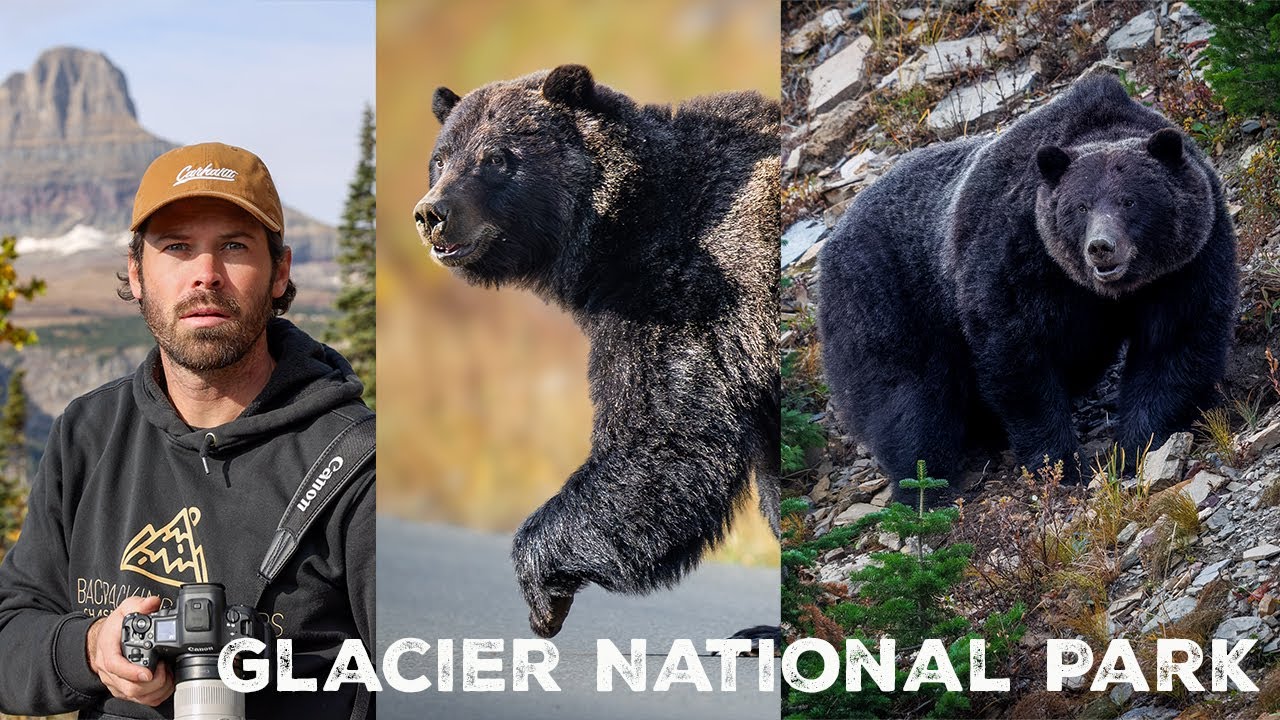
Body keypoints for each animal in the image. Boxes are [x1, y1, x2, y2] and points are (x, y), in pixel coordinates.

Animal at [414, 65, 781, 637]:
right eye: (441, 156)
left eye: (496, 157)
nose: (432, 213)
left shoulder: (683, 298)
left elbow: (663, 440)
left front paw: (543, 594)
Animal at [817, 72, 1237, 496]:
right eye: (1081, 206)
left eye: (1129, 201)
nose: (1101, 247)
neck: (1109, 291)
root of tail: (835, 234)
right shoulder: (1016, 256)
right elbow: (1019, 360)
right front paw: (1061, 463)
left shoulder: (1187, 264)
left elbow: (1174, 343)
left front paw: (1139, 444)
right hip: (890, 297)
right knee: (908, 398)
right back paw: (925, 483)